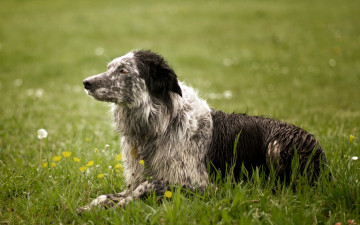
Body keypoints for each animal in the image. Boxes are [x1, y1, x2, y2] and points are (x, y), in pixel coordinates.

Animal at [76, 50, 330, 214]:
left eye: (123, 70)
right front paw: (93, 205)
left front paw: (119, 206)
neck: (162, 124)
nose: (86, 82)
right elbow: (107, 194)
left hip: (277, 146)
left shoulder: (202, 187)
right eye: (110, 68)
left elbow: (146, 187)